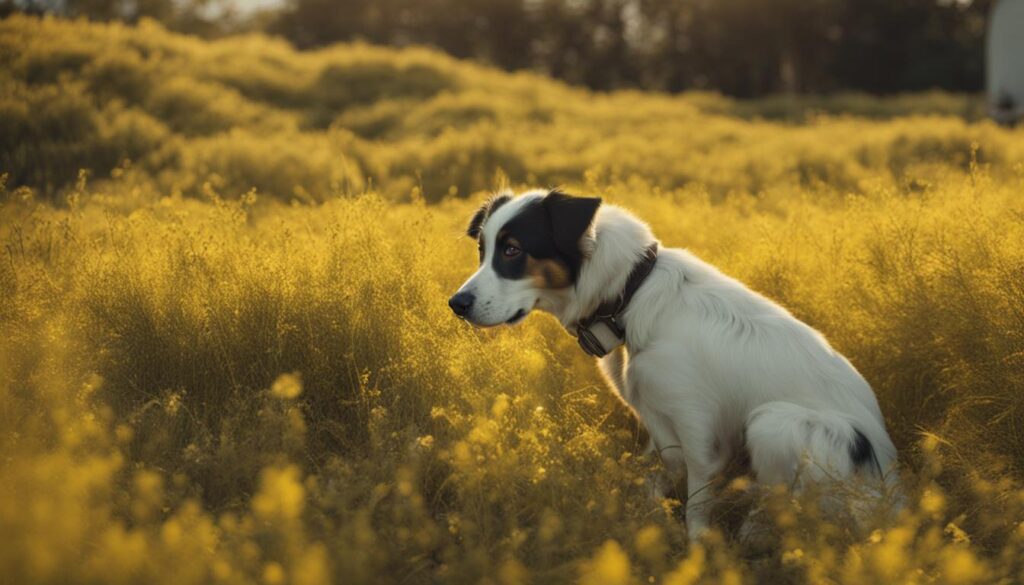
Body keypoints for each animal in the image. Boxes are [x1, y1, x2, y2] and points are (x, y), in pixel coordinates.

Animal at [448, 188, 897, 540]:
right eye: (482, 251)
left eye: (513, 250)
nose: (456, 303)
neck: (629, 296)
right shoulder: (658, 419)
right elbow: (658, 473)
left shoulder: (697, 427)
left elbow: (696, 504)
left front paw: (697, 548)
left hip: (774, 422)